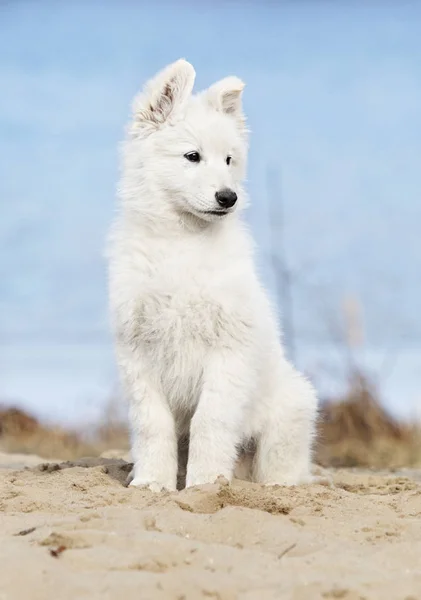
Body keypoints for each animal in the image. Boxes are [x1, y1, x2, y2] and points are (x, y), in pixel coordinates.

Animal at [106, 58, 316, 492]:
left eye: (229, 160)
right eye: (192, 156)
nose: (228, 197)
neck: (181, 241)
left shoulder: (227, 351)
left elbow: (210, 421)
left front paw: (204, 485)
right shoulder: (137, 351)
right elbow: (152, 423)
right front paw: (152, 482)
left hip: (289, 415)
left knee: (278, 471)